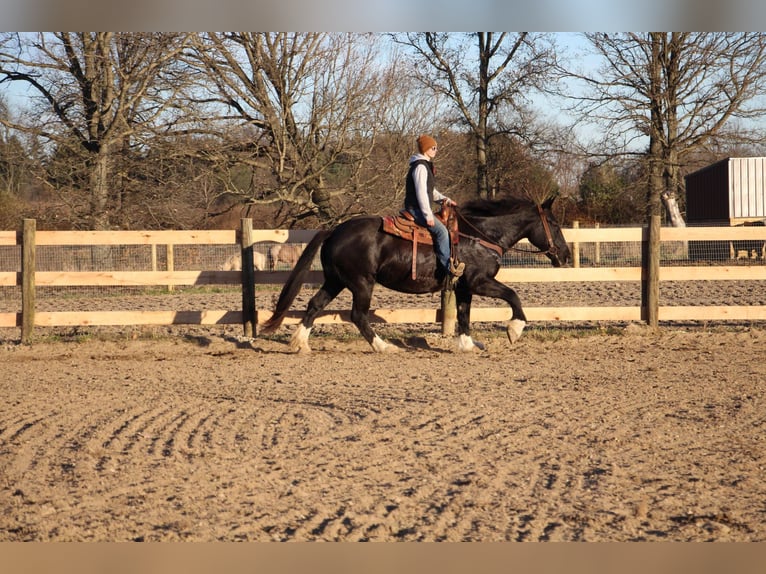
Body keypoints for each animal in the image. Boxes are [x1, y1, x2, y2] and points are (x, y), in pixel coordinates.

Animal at [262, 196, 568, 354]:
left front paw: (467, 344)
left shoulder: (464, 287)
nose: (564, 255)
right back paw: (384, 347)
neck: (482, 236)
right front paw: (514, 330)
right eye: (554, 223)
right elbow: (513, 296)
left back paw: (300, 343)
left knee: (314, 305)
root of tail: (334, 230)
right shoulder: (479, 281)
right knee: (358, 315)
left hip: (336, 281)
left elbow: (464, 314)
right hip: (361, 284)